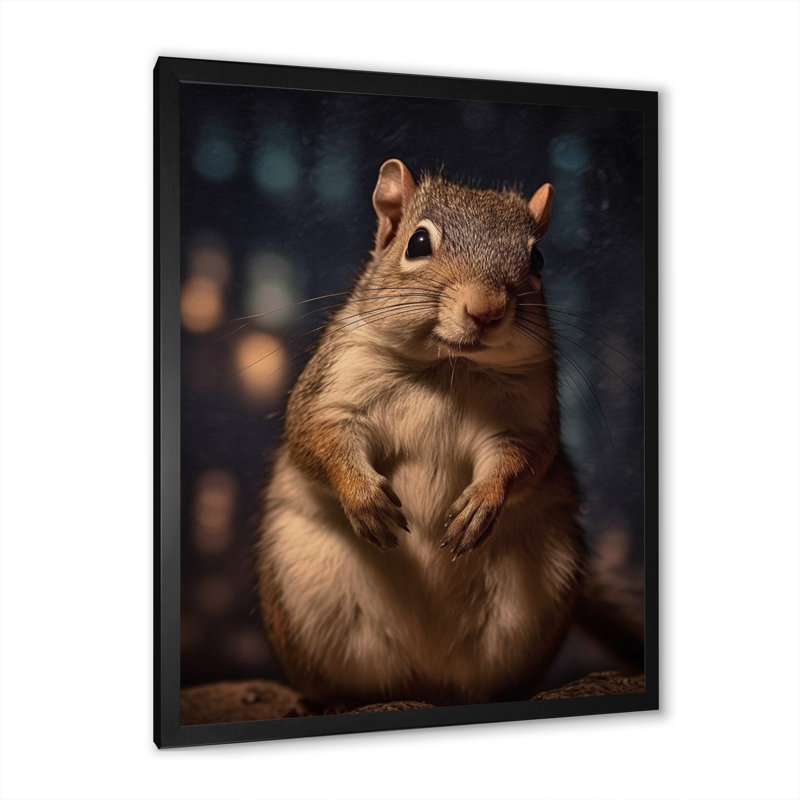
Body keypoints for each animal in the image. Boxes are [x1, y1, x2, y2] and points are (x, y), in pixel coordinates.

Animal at [256, 159, 642, 708]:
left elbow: (525, 458)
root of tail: (426, 677)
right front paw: (363, 497)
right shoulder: (333, 388)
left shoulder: (525, 417)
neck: (447, 369)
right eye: (418, 243)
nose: (485, 310)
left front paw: (482, 501)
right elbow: (317, 437)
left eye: (538, 258)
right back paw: (334, 700)